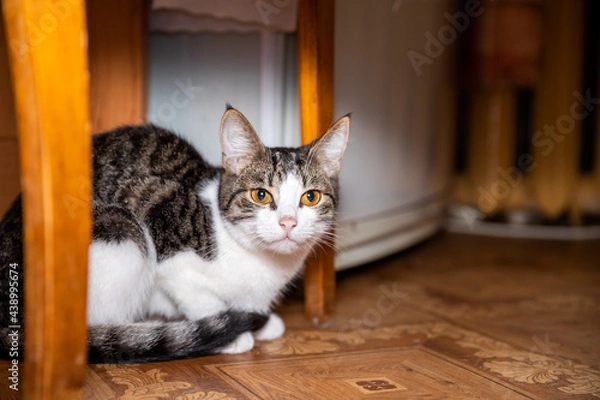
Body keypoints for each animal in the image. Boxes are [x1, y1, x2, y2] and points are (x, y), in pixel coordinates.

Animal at [0, 106, 350, 362]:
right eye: (261, 195)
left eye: (311, 197)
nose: (288, 223)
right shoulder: (153, 207)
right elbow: (197, 295)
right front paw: (232, 334)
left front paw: (263, 320)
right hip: (121, 228)